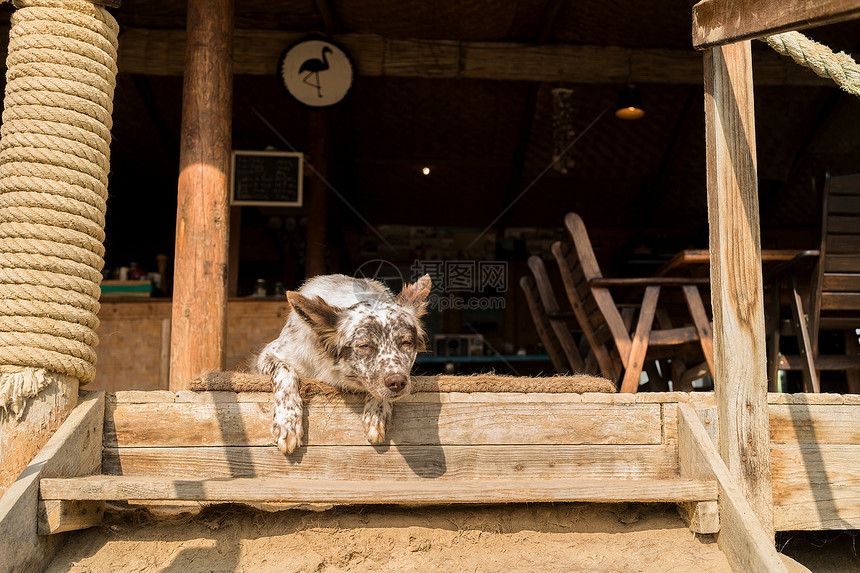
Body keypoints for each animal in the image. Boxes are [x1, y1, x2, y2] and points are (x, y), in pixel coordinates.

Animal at [254, 272, 430, 452]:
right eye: (364, 345)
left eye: (406, 342)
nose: (398, 383)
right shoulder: (268, 354)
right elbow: (286, 371)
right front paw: (287, 421)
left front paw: (377, 412)